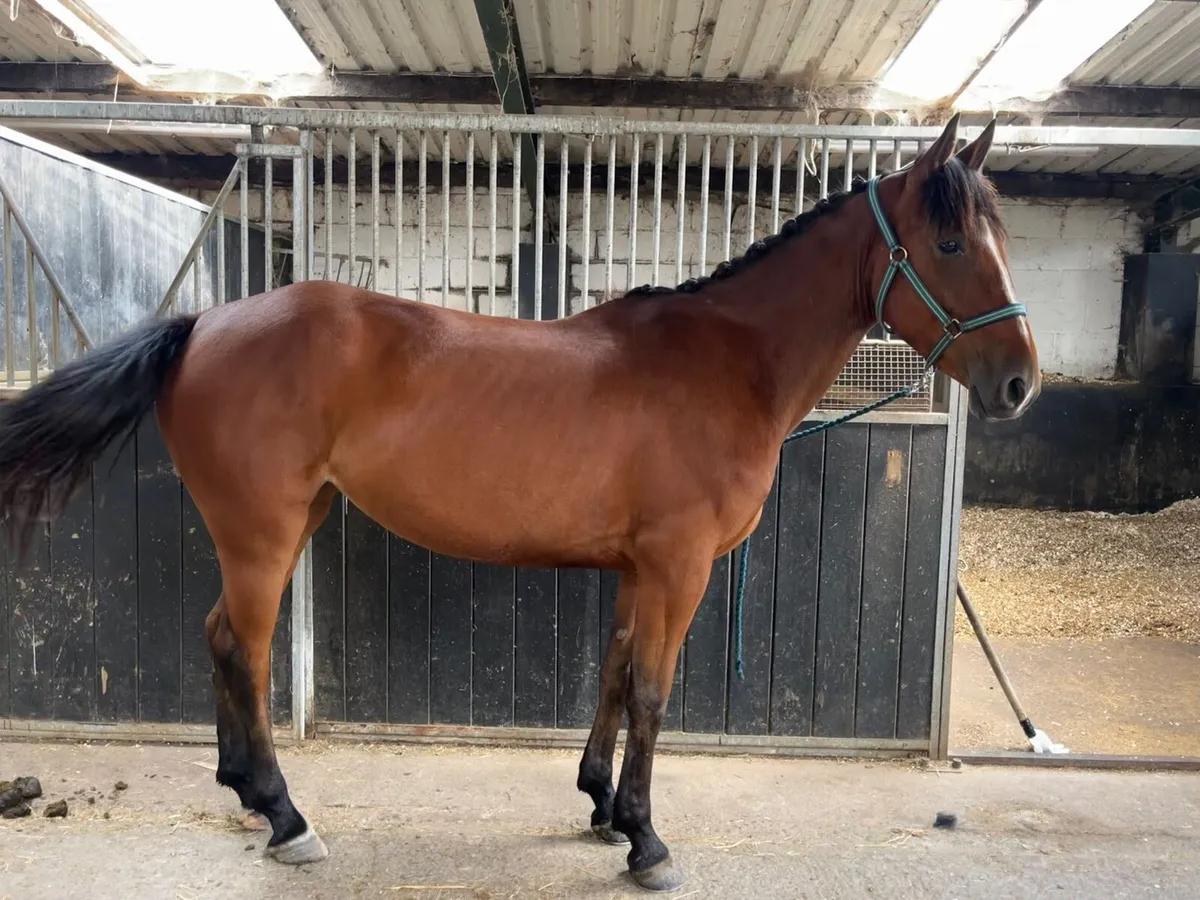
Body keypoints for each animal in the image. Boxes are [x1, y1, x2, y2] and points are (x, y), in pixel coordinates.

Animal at [0, 113, 1038, 892]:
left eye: (1001, 240)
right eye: (951, 241)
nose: (1020, 383)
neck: (728, 360)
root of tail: (202, 323)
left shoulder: (639, 566)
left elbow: (614, 673)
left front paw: (602, 807)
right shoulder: (679, 565)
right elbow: (653, 690)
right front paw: (648, 842)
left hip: (294, 522)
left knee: (222, 637)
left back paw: (247, 794)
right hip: (261, 534)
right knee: (241, 651)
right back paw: (287, 815)